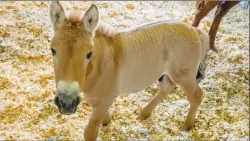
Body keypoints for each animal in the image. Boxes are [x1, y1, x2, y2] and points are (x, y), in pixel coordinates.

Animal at [50, 1, 211, 140]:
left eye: (89, 54)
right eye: (53, 50)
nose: (66, 102)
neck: (103, 65)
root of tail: (196, 31)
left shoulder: (105, 100)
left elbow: (90, 132)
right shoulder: (95, 98)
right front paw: (107, 122)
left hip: (184, 76)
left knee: (196, 96)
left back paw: (187, 125)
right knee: (166, 88)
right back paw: (144, 113)